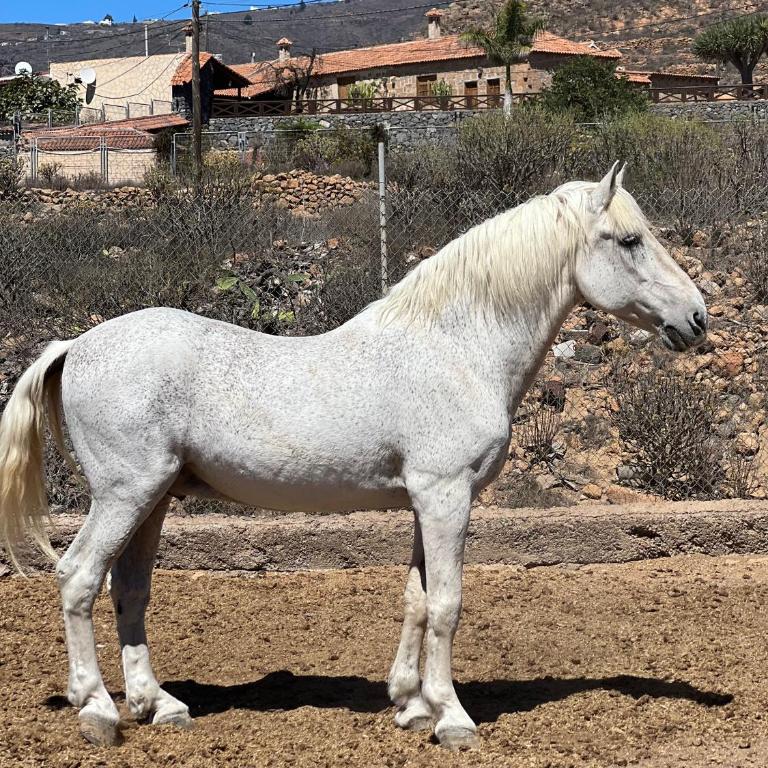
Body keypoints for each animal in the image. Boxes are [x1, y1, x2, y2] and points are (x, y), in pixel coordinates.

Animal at [0, 162, 707, 750]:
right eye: (629, 240)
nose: (697, 318)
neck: (457, 346)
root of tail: (76, 345)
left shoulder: (426, 501)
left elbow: (417, 598)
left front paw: (412, 706)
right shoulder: (446, 495)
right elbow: (447, 603)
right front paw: (453, 719)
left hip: (154, 499)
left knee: (129, 590)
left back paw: (160, 706)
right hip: (125, 495)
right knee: (78, 578)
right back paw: (98, 711)